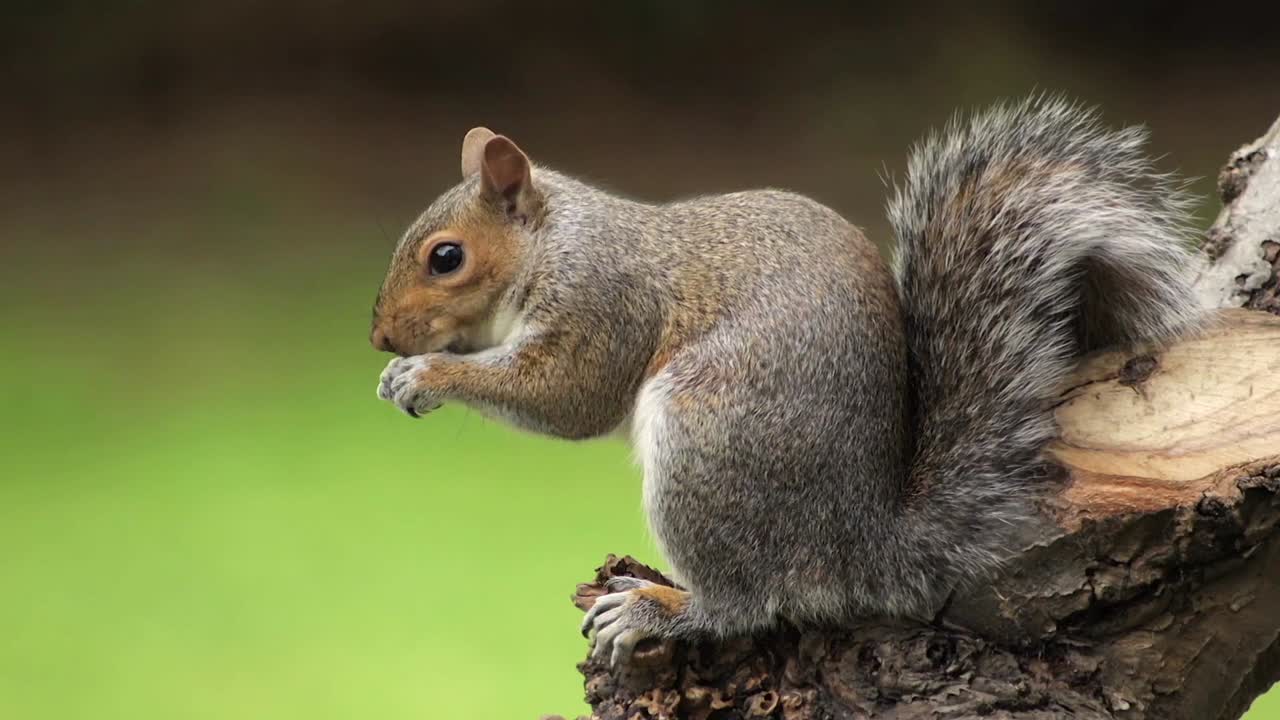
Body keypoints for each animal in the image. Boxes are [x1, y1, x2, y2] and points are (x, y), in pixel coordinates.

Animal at [370, 96, 1207, 666]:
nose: (378, 336)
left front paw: (425, 373)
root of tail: (859, 546)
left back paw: (657, 610)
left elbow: (569, 397)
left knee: (744, 605)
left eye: (446, 258)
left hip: (708, 441)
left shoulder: (603, 304)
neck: (557, 243)